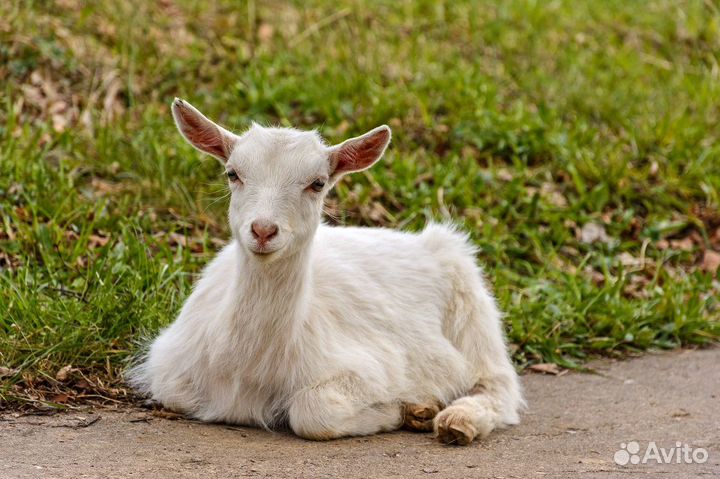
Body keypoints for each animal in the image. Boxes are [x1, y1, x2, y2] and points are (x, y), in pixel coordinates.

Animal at [129, 98, 524, 445]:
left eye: (317, 183)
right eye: (232, 173)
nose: (263, 230)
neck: (252, 367)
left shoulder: (376, 368)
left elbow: (313, 411)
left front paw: (402, 410)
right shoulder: (169, 369)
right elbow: (173, 394)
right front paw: (411, 410)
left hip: (472, 310)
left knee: (499, 384)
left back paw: (457, 421)